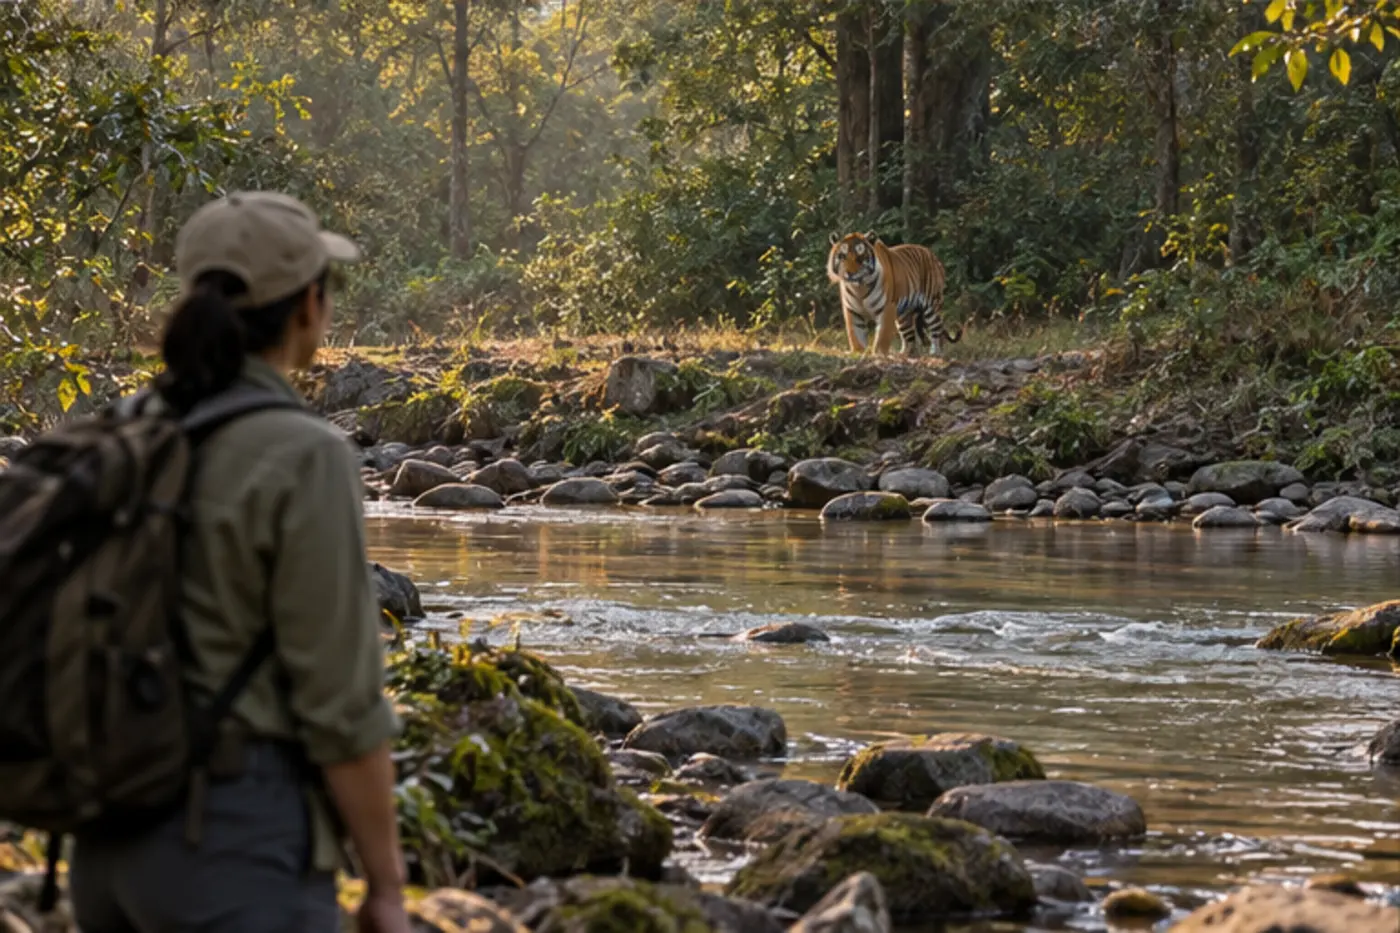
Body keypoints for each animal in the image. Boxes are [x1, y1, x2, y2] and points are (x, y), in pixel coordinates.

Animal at [826, 231, 960, 357]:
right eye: (842, 256)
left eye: (860, 258)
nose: (849, 273)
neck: (859, 288)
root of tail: (932, 254)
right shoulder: (852, 311)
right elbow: (855, 335)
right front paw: (858, 353)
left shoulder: (887, 308)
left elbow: (882, 336)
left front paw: (879, 354)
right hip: (904, 316)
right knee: (910, 337)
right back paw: (905, 354)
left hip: (931, 305)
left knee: (936, 330)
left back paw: (935, 353)